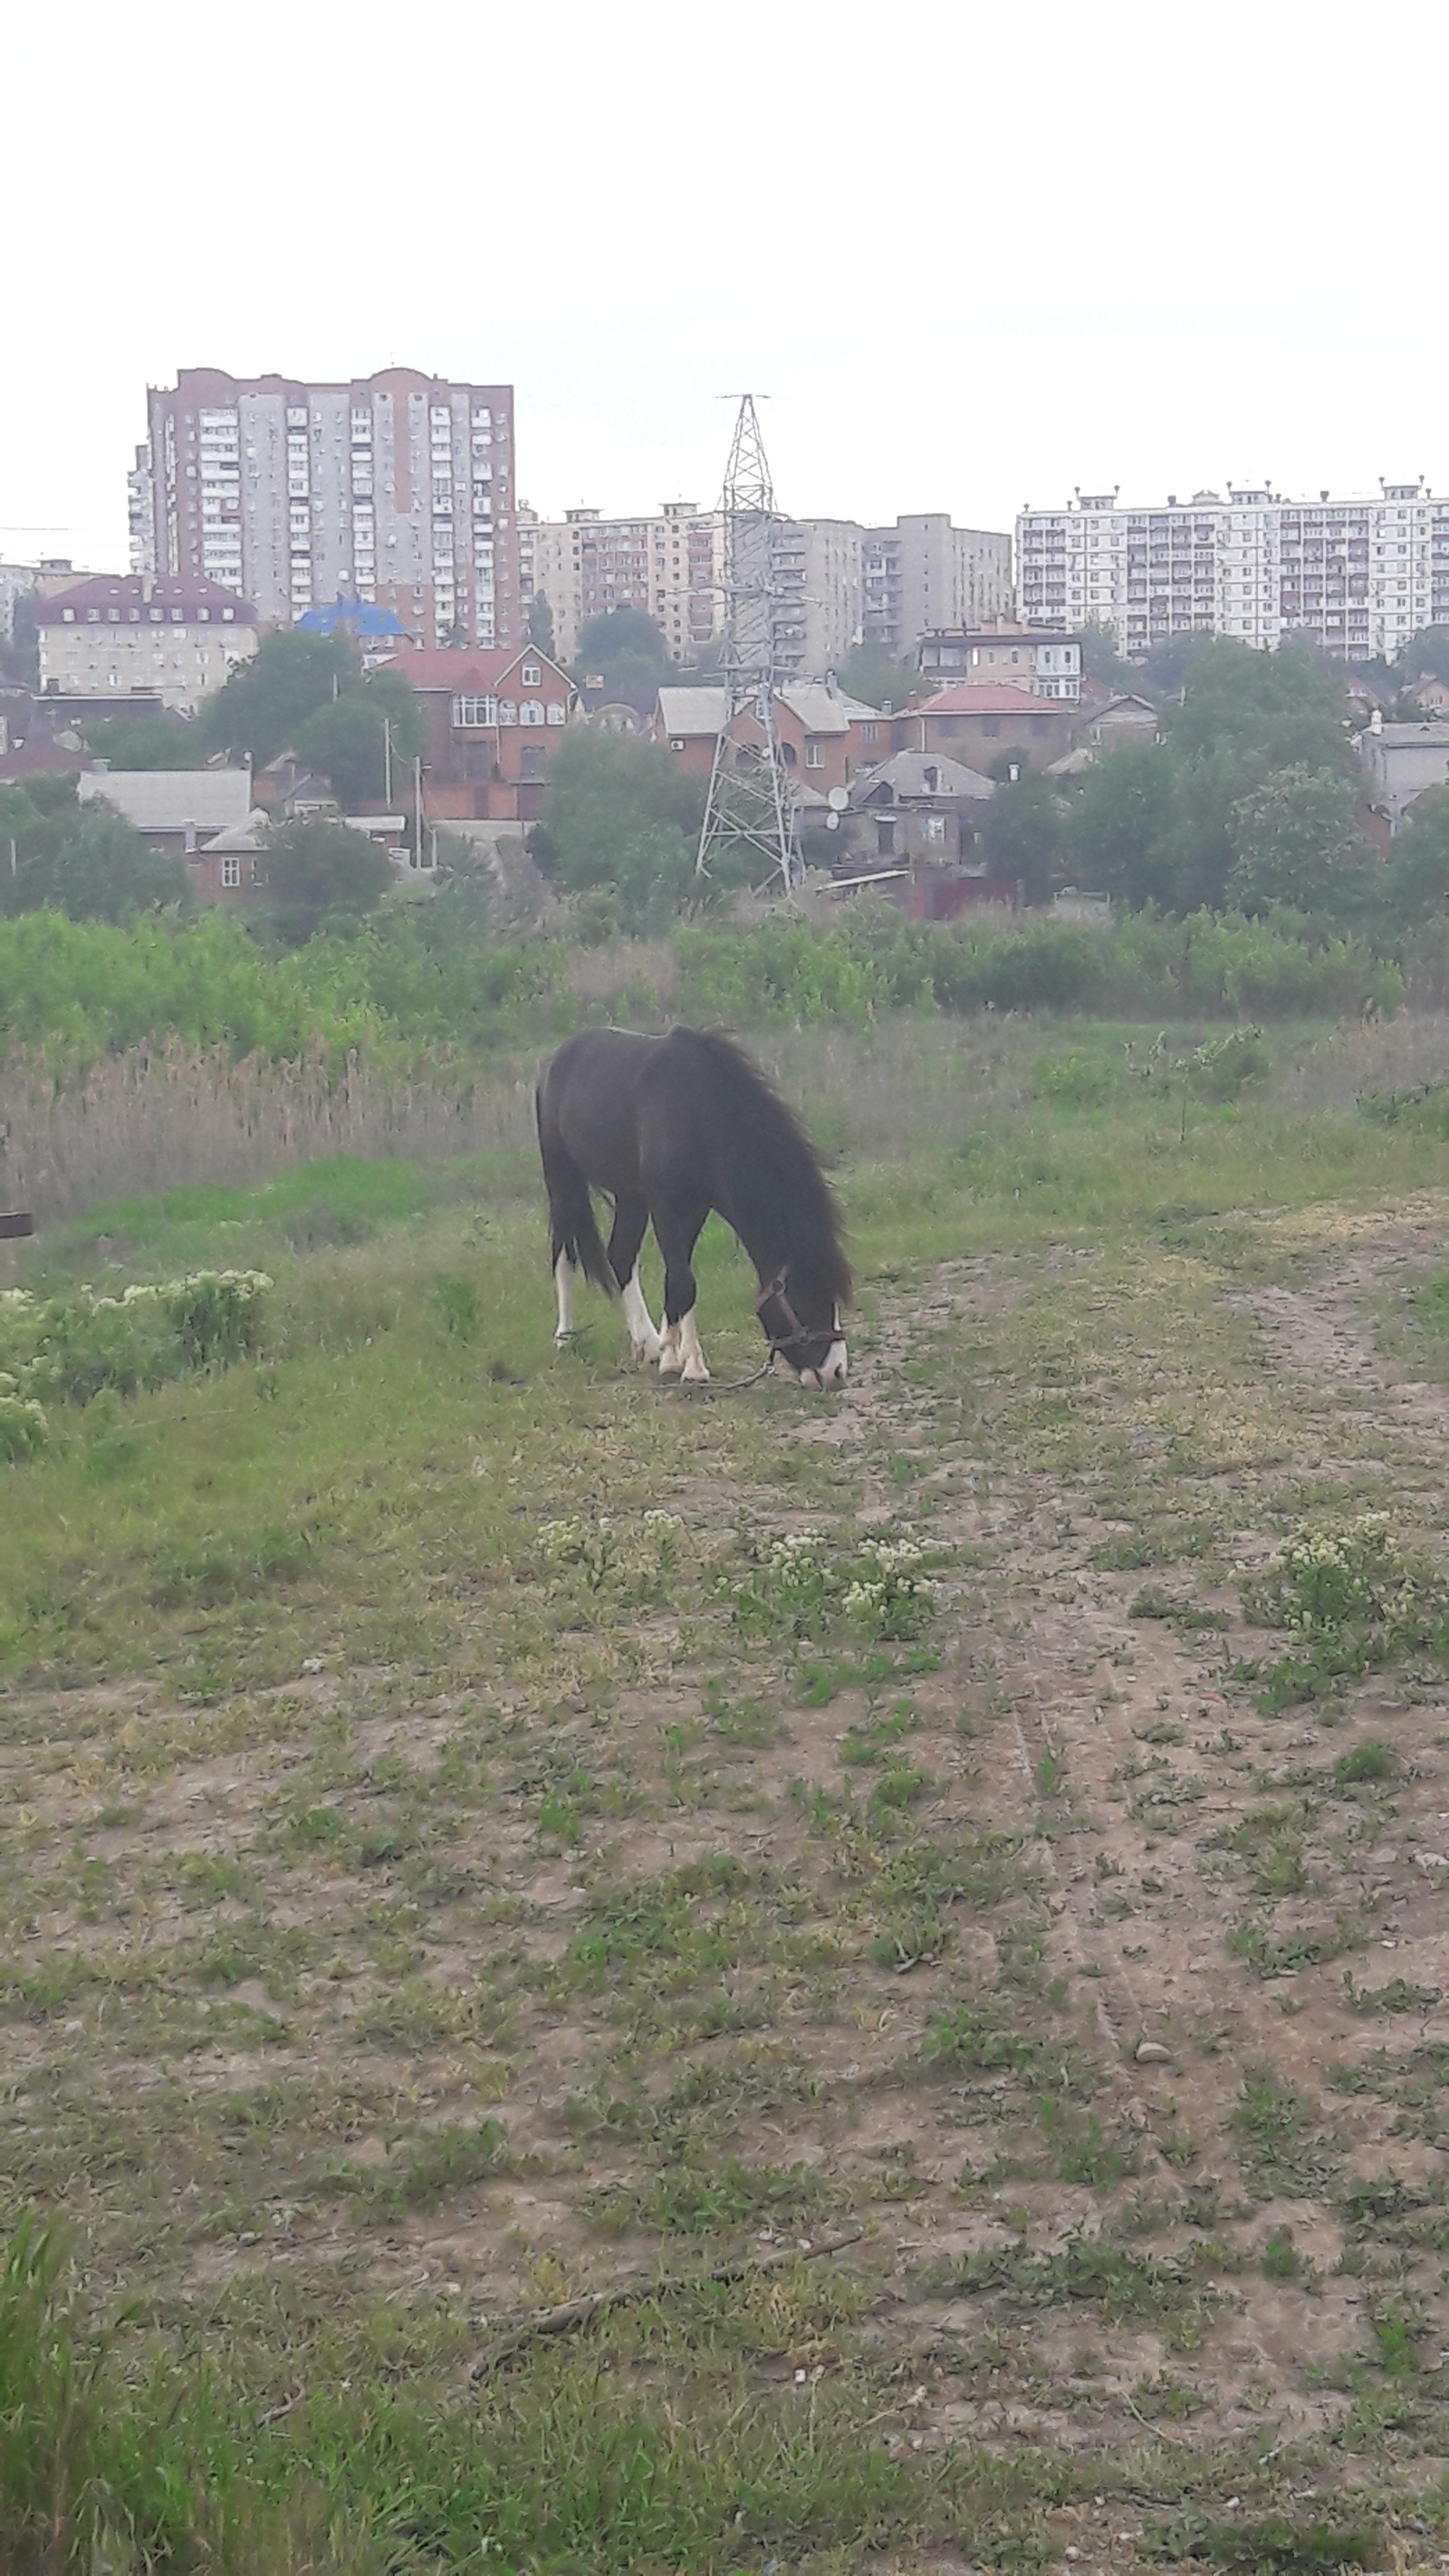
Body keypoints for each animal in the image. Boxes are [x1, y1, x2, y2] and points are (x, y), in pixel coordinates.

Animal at [533, 1024, 849, 1390]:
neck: (696, 1109)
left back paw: (647, 1342)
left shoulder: (695, 1207)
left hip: (631, 1195)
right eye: (809, 1295)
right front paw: (690, 1365)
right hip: (562, 1178)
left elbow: (677, 1281)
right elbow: (684, 1282)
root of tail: (557, 1057)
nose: (836, 1371)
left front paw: (671, 1354)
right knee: (564, 1254)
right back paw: (566, 1337)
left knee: (621, 1257)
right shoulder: (666, 1205)